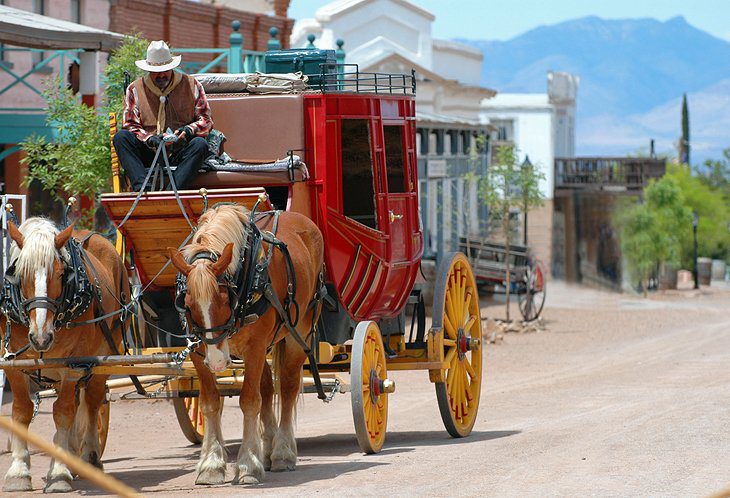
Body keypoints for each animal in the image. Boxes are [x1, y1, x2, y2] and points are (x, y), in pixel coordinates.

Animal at [0, 220, 126, 492]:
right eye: (20, 274)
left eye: (60, 274)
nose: (41, 337)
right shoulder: (13, 362)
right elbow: (21, 411)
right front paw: (18, 471)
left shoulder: (72, 365)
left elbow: (64, 412)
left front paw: (58, 473)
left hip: (104, 355)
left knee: (92, 402)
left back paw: (89, 457)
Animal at [169, 203, 322, 486]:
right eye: (189, 304)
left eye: (224, 299)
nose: (218, 362)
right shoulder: (198, 350)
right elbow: (210, 402)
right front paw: (211, 464)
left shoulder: (255, 347)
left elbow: (250, 400)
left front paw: (248, 465)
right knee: (268, 389)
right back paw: (268, 448)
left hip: (300, 332)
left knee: (287, 388)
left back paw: (282, 452)